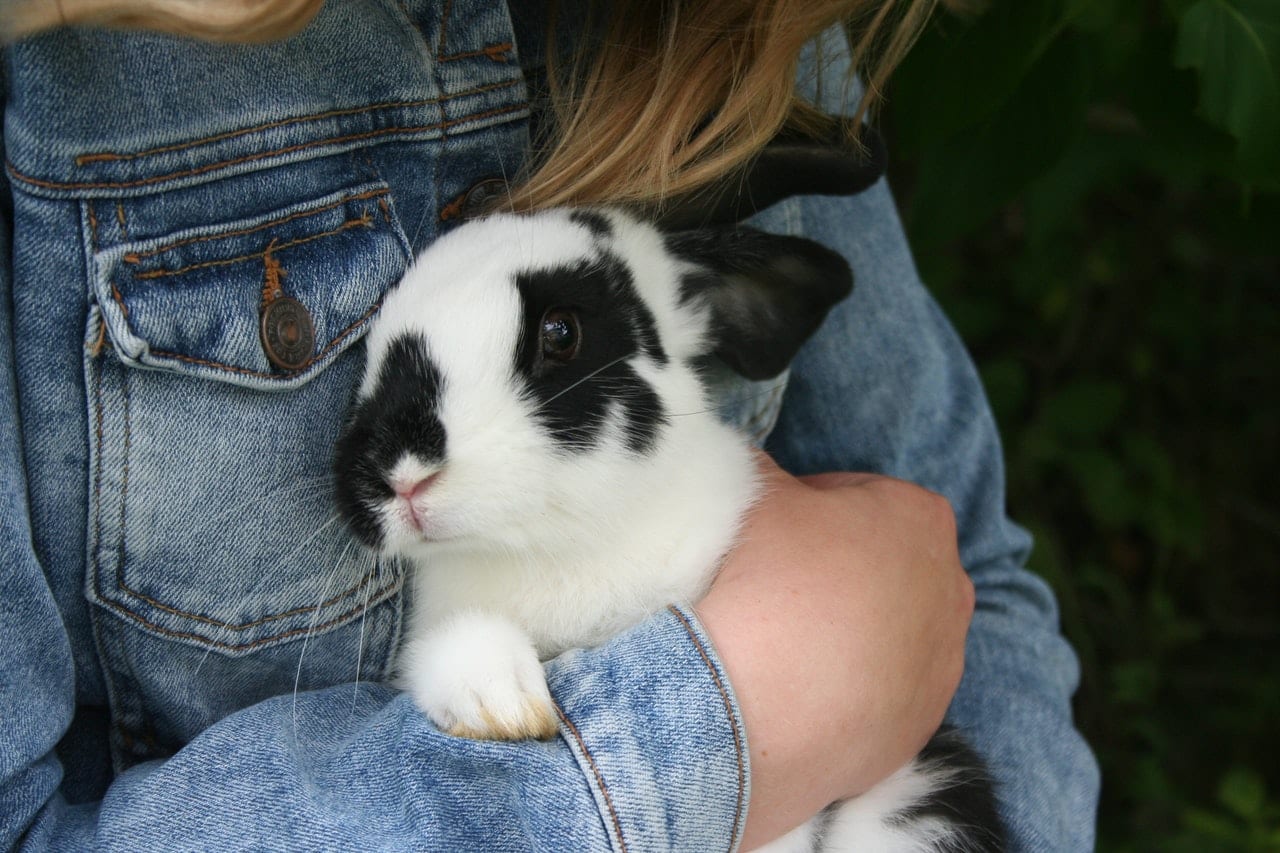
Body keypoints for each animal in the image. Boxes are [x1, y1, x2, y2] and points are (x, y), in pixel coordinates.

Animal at [332, 207, 1008, 850]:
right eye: (372, 352)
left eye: (560, 332)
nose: (400, 474)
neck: (555, 547)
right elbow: (455, 648)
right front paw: (504, 706)